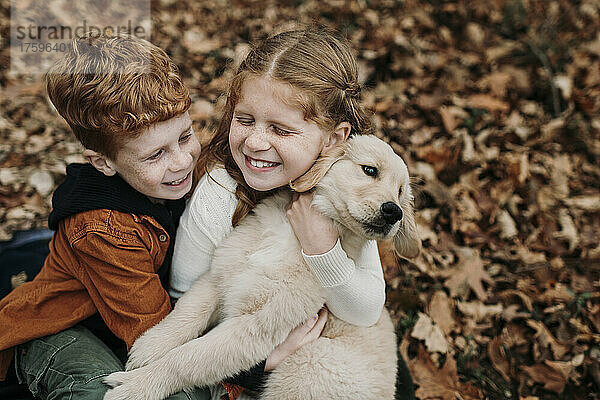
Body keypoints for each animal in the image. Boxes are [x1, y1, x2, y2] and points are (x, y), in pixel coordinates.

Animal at [103, 135, 420, 400]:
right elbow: (187, 314)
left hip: (303, 371)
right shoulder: (218, 278)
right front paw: (149, 346)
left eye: (400, 192)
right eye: (370, 171)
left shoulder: (255, 327)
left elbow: (188, 358)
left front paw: (137, 386)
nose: (394, 212)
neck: (293, 237)